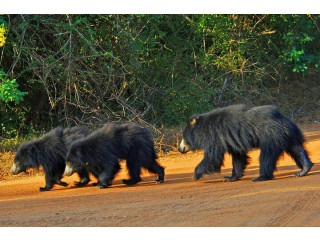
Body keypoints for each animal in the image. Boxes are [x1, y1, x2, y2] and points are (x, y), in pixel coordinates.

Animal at [179, 104, 314, 182]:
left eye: (184, 137)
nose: (180, 149)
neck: (202, 128)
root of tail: (283, 120)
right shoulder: (231, 141)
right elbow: (238, 157)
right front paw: (230, 178)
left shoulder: (214, 137)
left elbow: (213, 157)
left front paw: (194, 175)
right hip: (288, 135)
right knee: (297, 149)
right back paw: (303, 170)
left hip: (271, 136)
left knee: (266, 156)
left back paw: (260, 177)